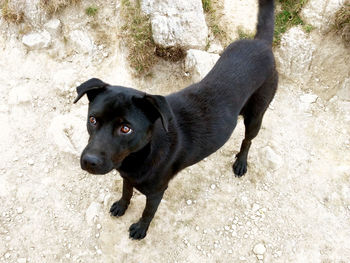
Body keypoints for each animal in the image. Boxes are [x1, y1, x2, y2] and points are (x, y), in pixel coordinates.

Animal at [73, 0, 276, 240]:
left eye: (125, 129)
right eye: (93, 120)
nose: (89, 161)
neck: (142, 153)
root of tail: (260, 43)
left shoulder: (156, 192)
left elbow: (148, 212)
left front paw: (141, 229)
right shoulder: (127, 176)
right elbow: (126, 191)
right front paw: (122, 206)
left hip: (256, 115)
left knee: (248, 140)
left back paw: (241, 162)